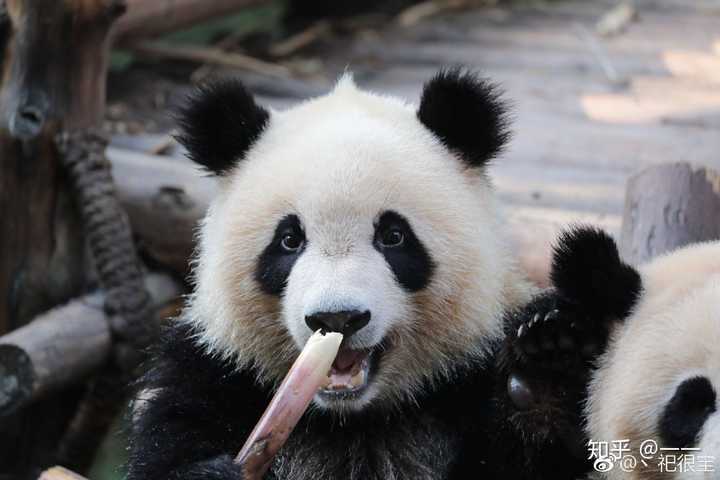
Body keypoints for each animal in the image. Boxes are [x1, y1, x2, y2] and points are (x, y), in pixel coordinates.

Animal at [125, 68, 592, 480]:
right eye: (289, 240)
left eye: (394, 236)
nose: (337, 318)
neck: (351, 420)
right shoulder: (211, 376)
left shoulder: (470, 373)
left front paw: (543, 364)